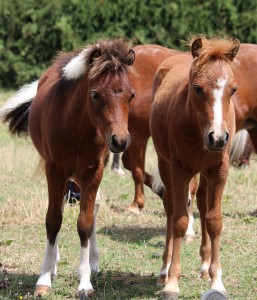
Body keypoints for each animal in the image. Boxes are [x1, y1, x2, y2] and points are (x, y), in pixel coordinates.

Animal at [149, 36, 239, 298]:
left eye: (233, 89)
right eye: (197, 88)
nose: (217, 138)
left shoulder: (219, 170)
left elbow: (214, 220)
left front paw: (216, 281)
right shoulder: (180, 169)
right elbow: (179, 220)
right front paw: (171, 283)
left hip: (204, 174)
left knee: (200, 204)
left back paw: (204, 266)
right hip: (166, 164)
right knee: (170, 208)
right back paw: (164, 270)